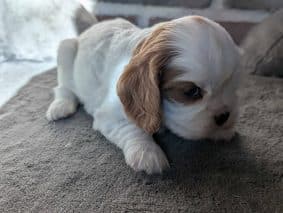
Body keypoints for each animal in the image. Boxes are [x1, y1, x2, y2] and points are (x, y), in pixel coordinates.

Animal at [46, 16, 242, 173]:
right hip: (66, 51)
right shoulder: (111, 114)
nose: (224, 116)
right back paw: (60, 107)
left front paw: (222, 131)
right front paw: (147, 153)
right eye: (192, 92)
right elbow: (131, 127)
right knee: (63, 88)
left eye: (232, 85)